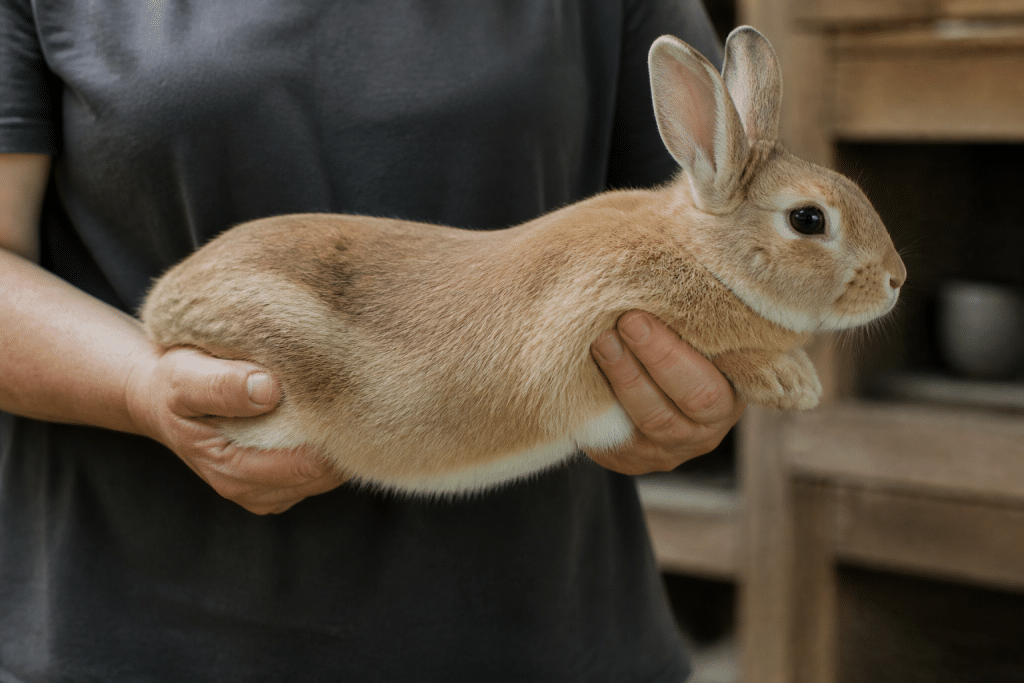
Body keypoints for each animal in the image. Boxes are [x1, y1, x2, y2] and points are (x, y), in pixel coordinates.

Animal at [140, 26, 906, 496]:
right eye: (808, 220)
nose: (896, 279)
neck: (702, 254)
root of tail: (161, 307)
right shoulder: (601, 315)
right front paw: (787, 379)